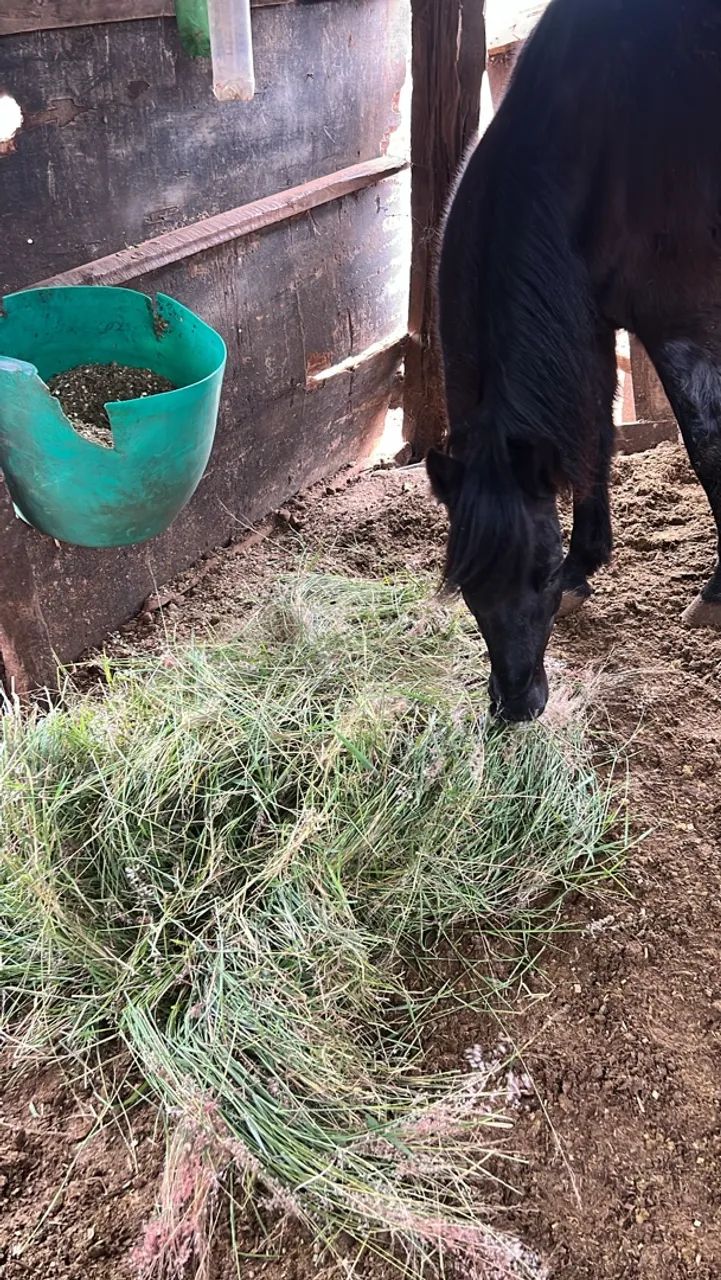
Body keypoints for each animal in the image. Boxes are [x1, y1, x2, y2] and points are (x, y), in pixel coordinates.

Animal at [427, 0, 721, 722]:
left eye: (540, 573)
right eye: (467, 587)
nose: (515, 703)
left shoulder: (679, 326)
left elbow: (704, 450)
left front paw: (717, 593)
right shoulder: (589, 316)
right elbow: (593, 437)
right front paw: (589, 564)